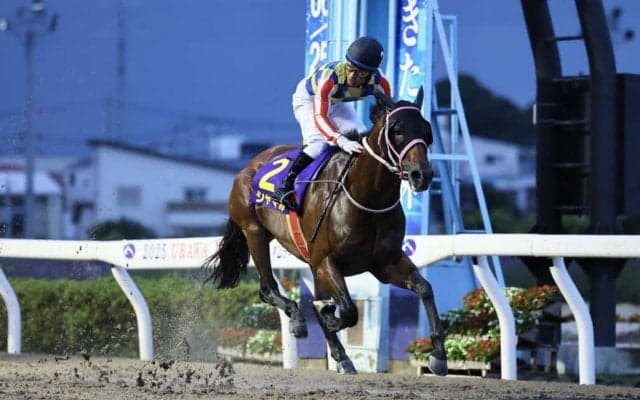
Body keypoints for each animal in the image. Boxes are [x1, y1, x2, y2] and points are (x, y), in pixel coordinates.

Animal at [203, 89, 447, 375]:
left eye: (427, 131)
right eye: (397, 131)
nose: (422, 175)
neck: (367, 196)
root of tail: (249, 165)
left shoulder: (385, 262)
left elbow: (424, 288)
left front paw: (438, 355)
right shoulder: (326, 261)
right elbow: (349, 310)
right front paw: (328, 317)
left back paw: (341, 355)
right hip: (254, 233)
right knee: (268, 289)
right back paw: (299, 321)